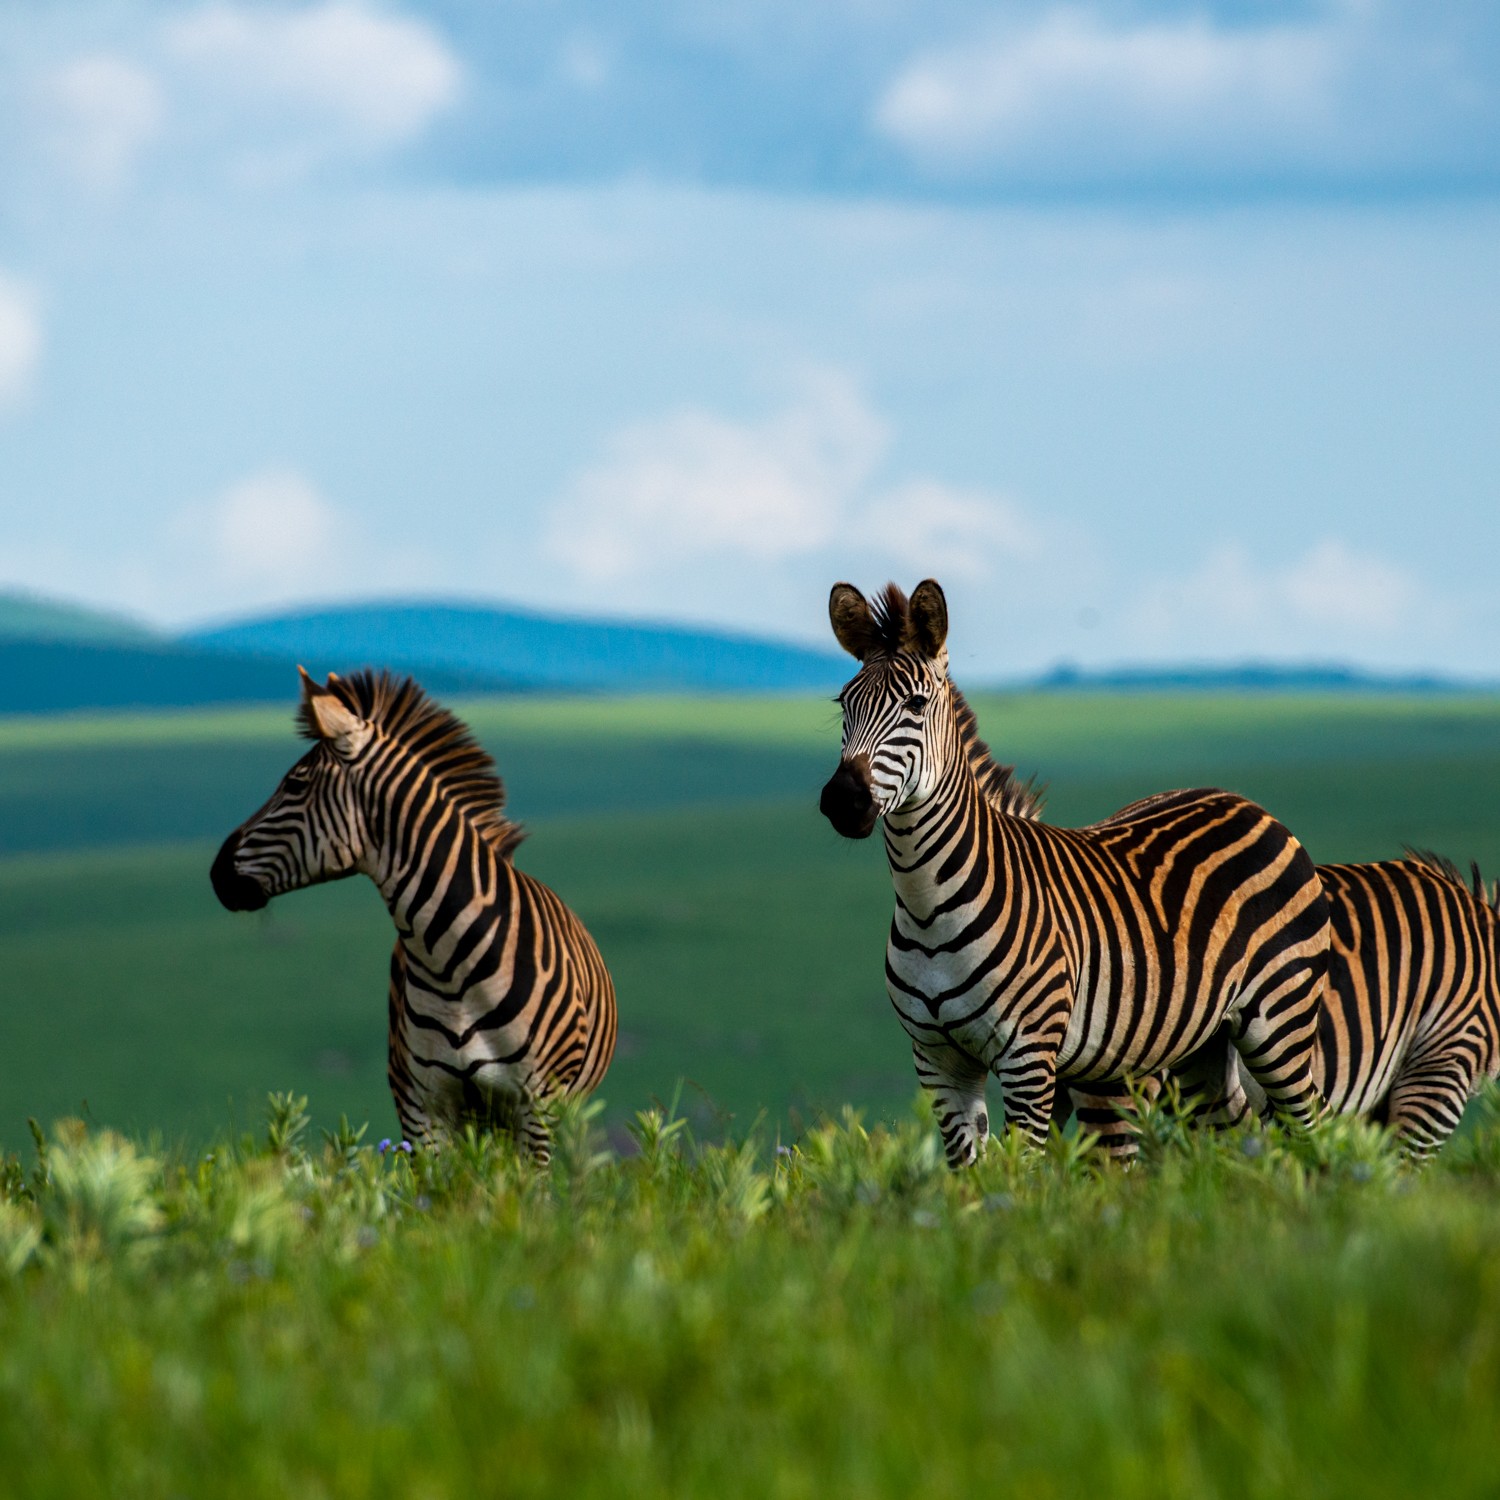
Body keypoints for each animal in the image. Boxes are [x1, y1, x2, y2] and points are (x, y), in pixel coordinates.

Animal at [818, 579, 1330, 1166]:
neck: (928, 905)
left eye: (916, 703)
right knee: (1241, 1136)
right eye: (844, 704)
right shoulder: (938, 1062)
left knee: (1315, 1124)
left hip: (1280, 1018)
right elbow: (969, 1177)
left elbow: (1020, 1172)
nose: (843, 800)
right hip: (1204, 1043)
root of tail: (1246, 803)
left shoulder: (1029, 1059)